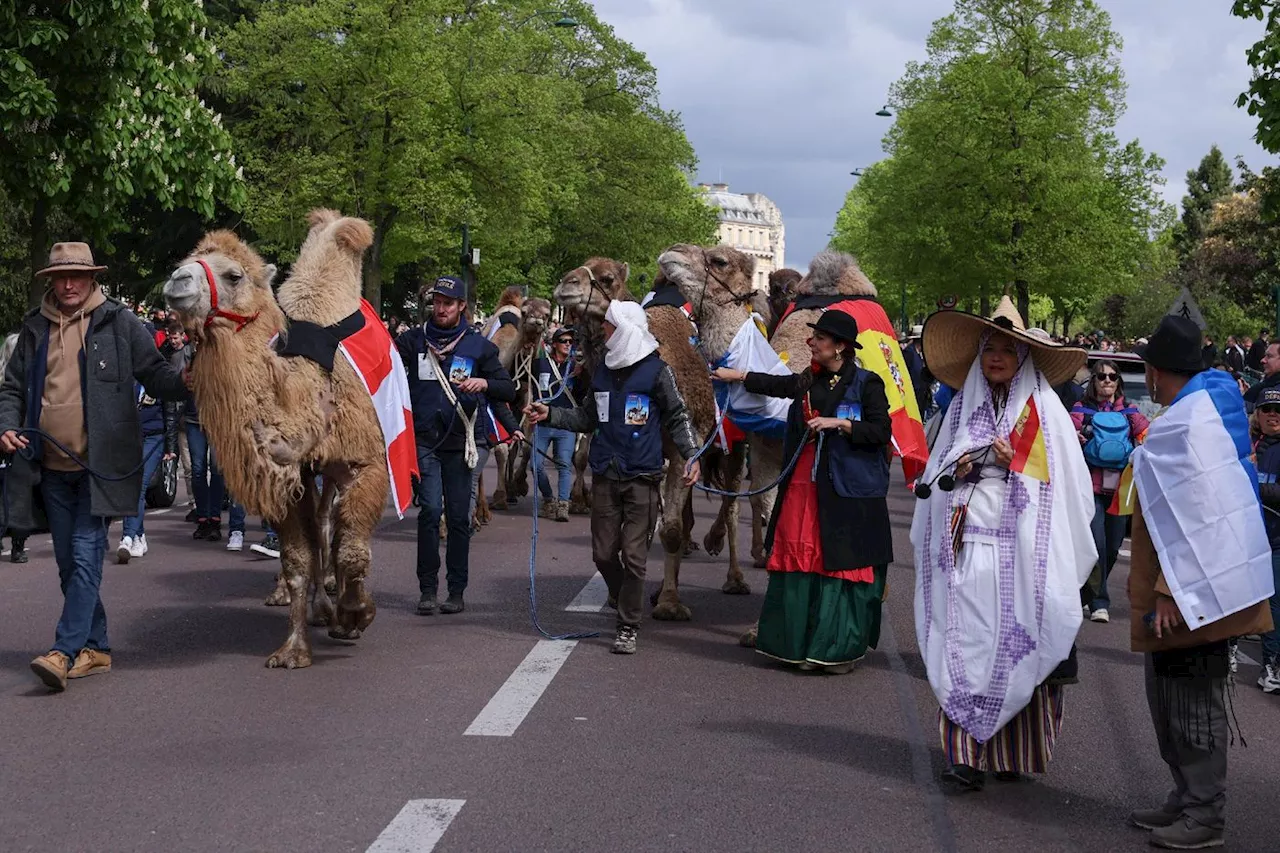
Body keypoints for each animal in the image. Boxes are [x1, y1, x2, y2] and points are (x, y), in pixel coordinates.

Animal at [167, 208, 391, 666]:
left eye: (233, 275)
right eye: (186, 261)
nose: (176, 281)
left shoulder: (364, 461)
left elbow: (353, 548)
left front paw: (356, 614)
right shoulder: (289, 479)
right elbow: (297, 560)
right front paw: (294, 649)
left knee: (336, 527)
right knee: (322, 524)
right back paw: (321, 606)